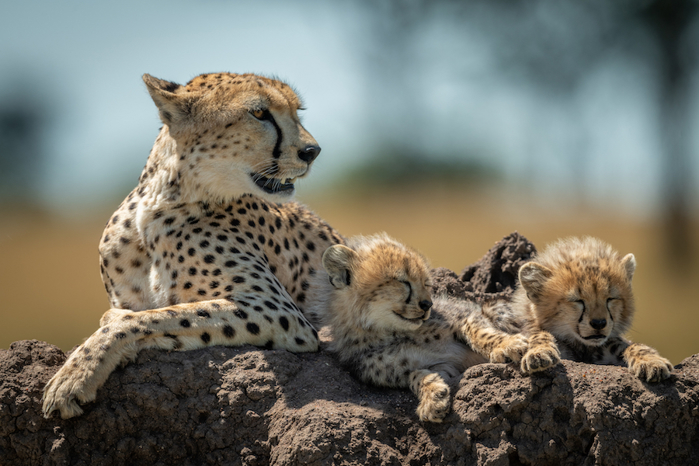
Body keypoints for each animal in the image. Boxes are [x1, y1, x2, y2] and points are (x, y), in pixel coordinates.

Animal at [42, 72, 344, 419]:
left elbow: (154, 316)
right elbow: (147, 314)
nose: (312, 151)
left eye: (297, 112)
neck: (160, 205)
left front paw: (74, 377)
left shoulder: (280, 310)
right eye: (259, 113)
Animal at [305, 233, 531, 422]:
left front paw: (508, 345)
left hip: (498, 309)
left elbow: (482, 333)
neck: (390, 333)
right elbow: (417, 375)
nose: (427, 304)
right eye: (403, 282)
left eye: (426, 283)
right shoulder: (441, 367)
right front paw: (433, 397)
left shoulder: (465, 315)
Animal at [511, 236, 673, 382]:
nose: (599, 323)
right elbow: (538, 334)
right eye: (577, 301)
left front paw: (651, 361)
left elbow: (632, 345)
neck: (580, 346)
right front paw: (538, 353)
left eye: (610, 299)